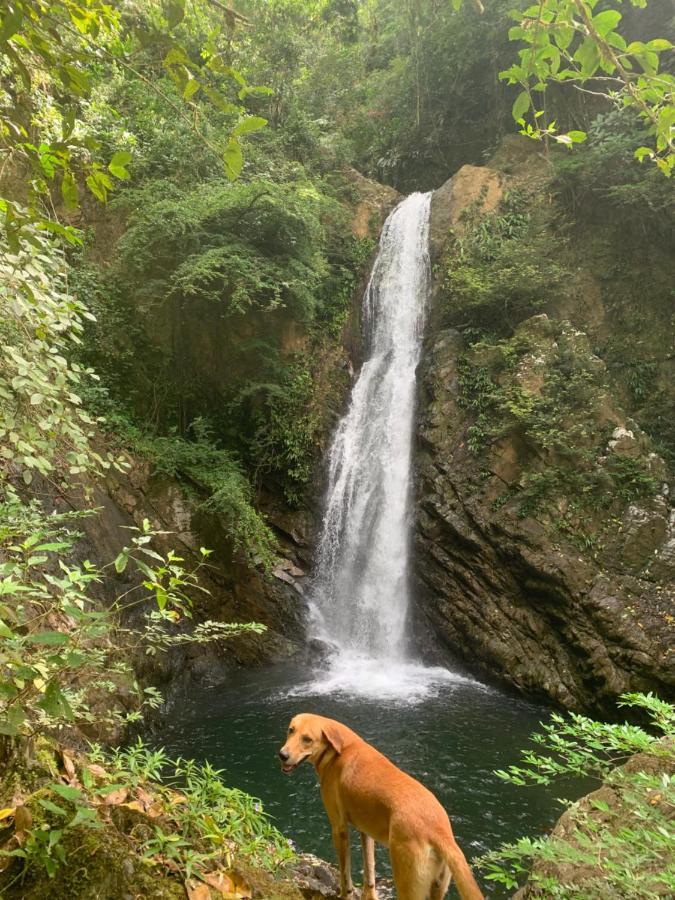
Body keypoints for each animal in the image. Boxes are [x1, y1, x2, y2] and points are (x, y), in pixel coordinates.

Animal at [280, 712, 486, 896]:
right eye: (291, 730)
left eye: (307, 739)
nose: (282, 755)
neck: (340, 749)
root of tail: (439, 830)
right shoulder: (365, 831)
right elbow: (369, 873)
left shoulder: (339, 828)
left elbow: (345, 876)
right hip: (437, 887)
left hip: (406, 881)